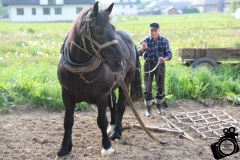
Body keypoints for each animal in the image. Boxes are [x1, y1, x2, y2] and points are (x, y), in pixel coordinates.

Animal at [56, 1, 142, 158]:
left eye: (112, 28)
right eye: (98, 30)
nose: (120, 62)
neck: (80, 70)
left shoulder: (101, 96)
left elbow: (101, 121)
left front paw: (107, 146)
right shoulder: (66, 94)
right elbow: (68, 121)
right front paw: (64, 147)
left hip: (125, 81)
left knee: (120, 106)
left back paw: (116, 132)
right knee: (113, 101)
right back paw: (112, 126)